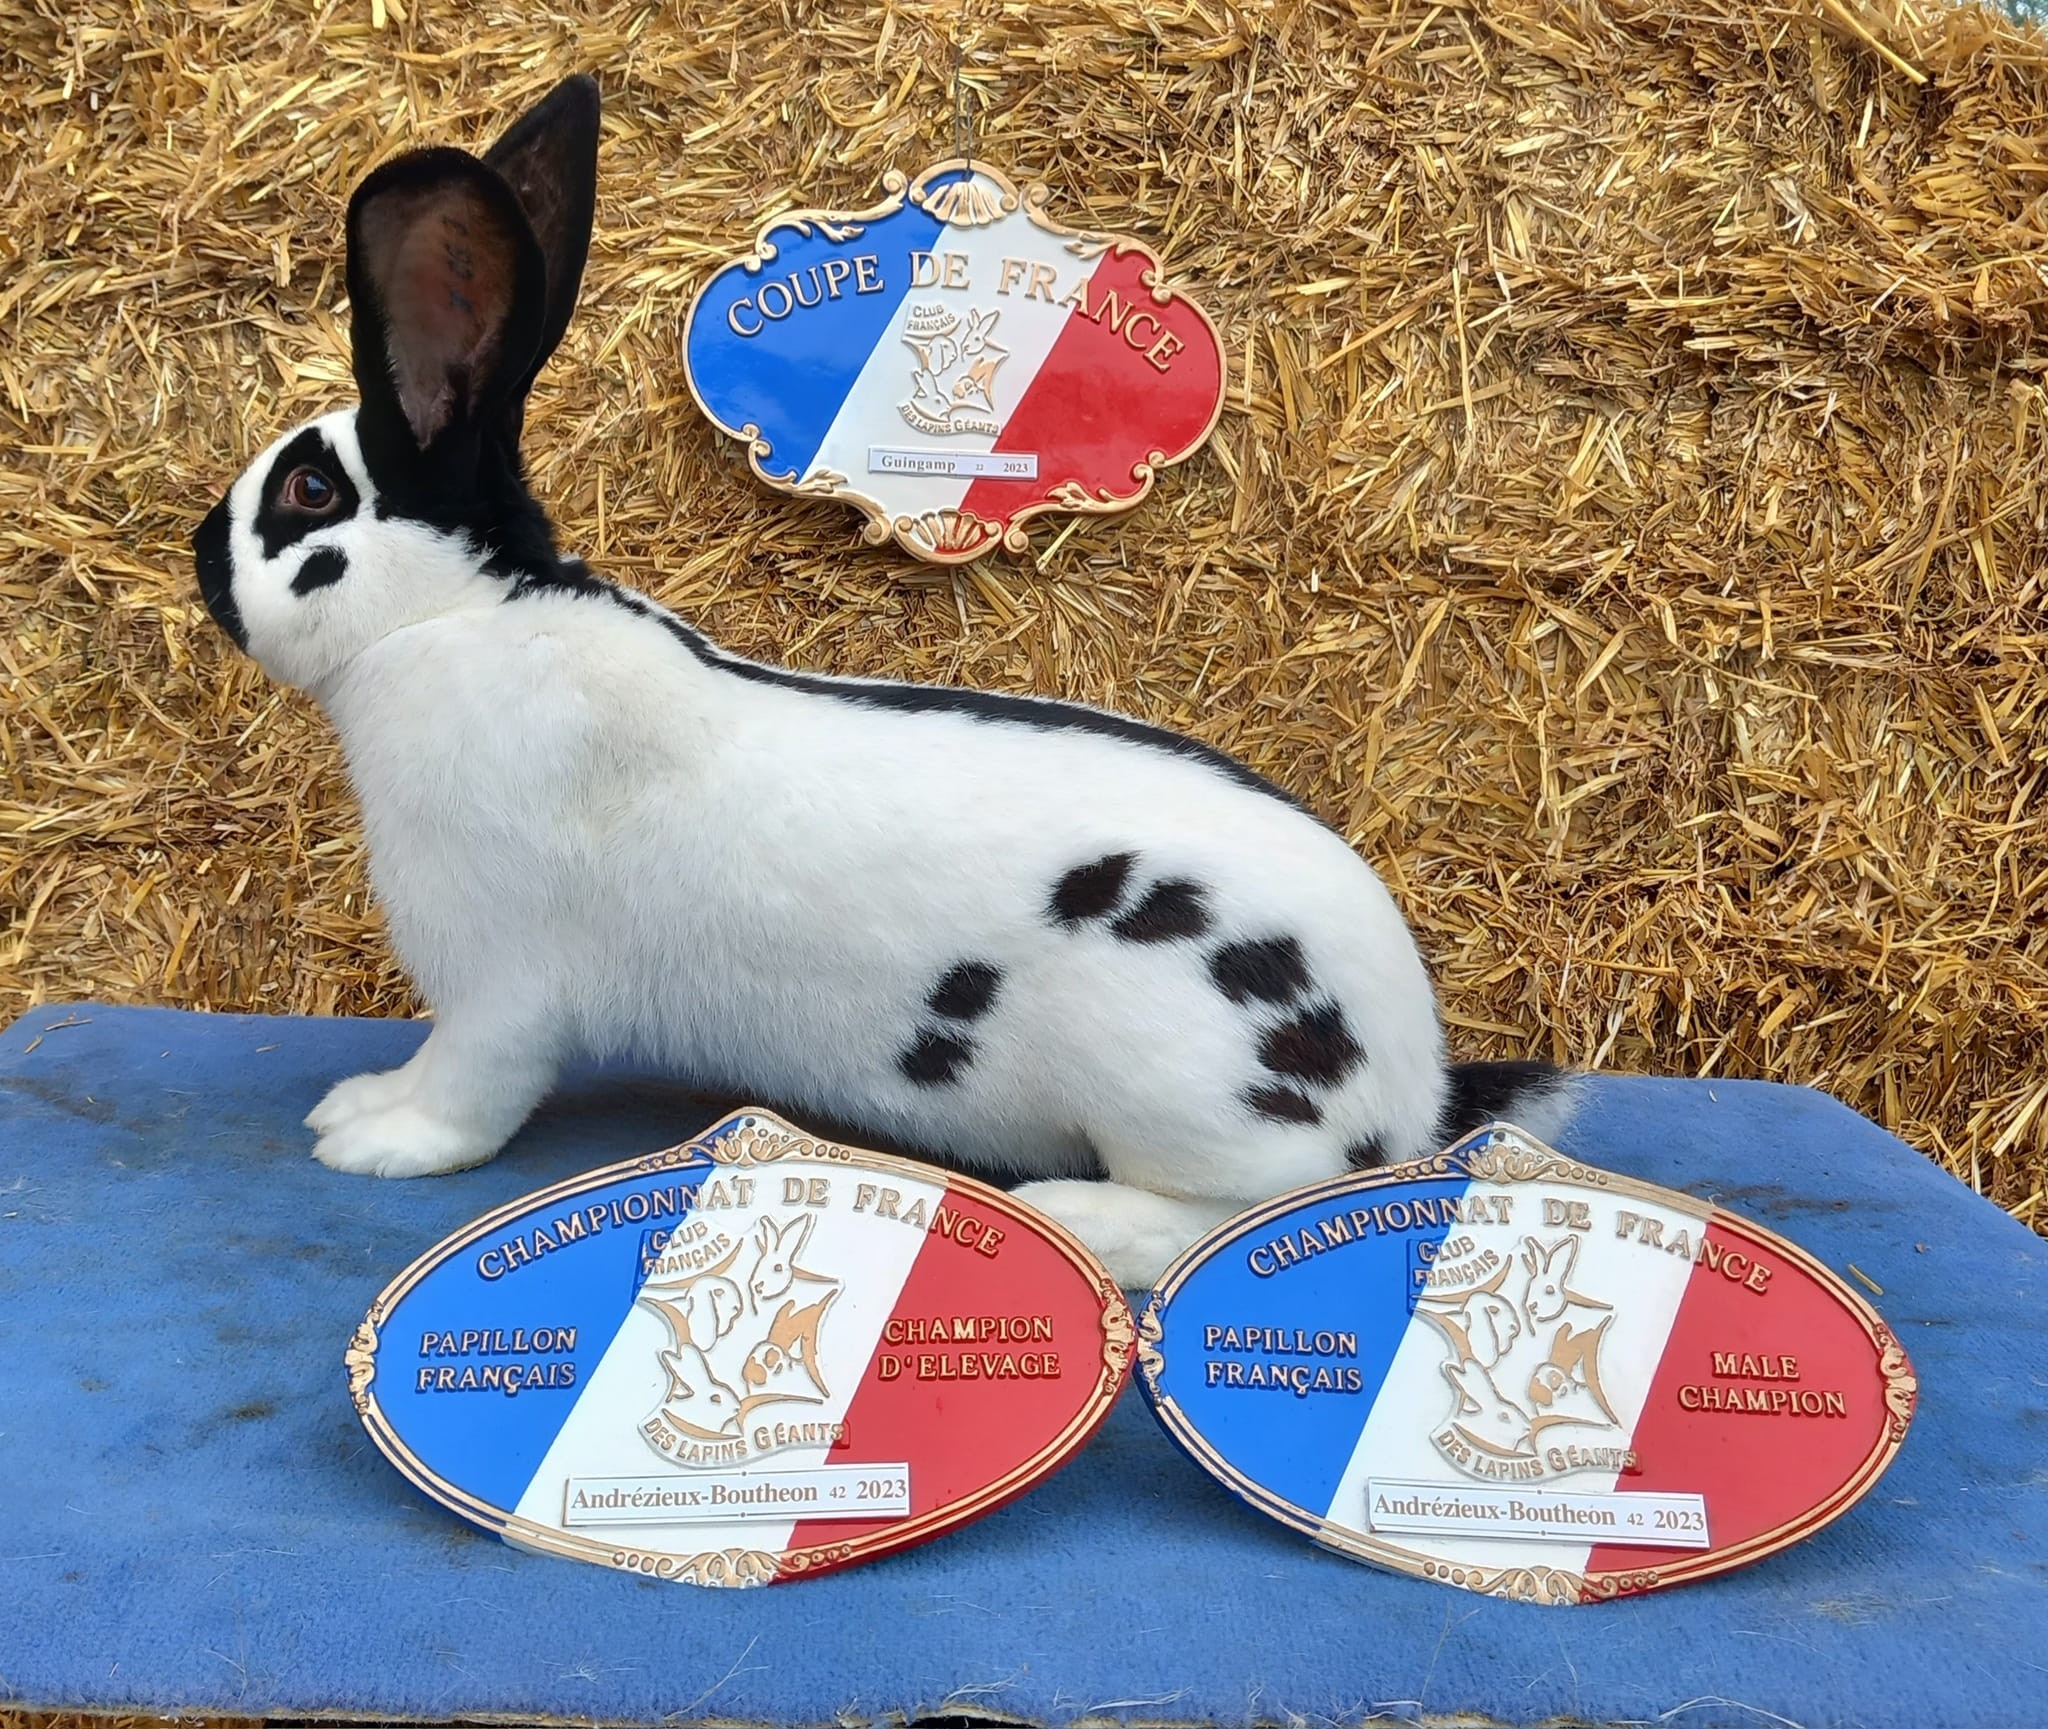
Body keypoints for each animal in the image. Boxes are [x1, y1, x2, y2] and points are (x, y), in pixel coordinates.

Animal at [192, 84, 1572, 1294]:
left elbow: (466, 1088)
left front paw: (375, 1140)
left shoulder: (497, 981)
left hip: (1186, 1083)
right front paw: (356, 1102)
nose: (201, 554)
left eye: (307, 491)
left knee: (1259, 1205)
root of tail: (1407, 1082)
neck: (454, 614)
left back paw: (1084, 1215)